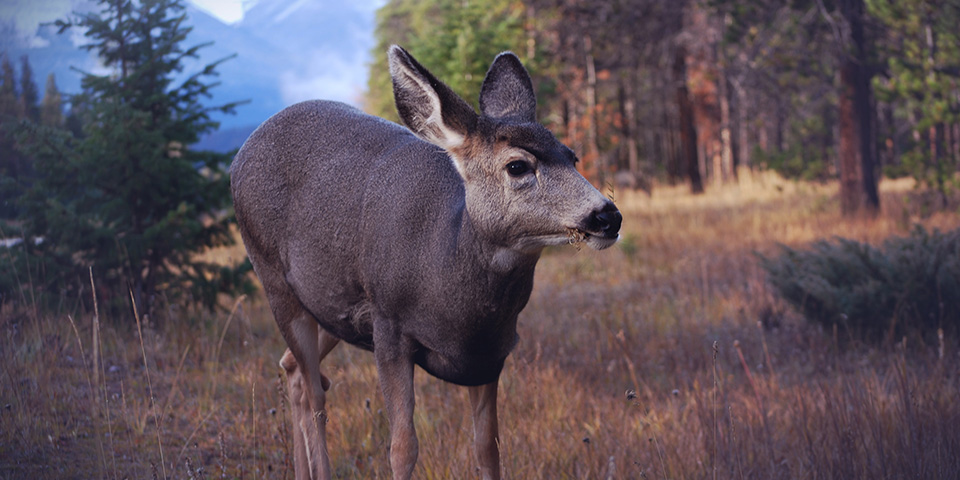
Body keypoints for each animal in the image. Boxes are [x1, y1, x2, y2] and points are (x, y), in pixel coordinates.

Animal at [231, 46, 624, 480]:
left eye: (572, 157)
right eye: (518, 165)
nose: (607, 215)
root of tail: (245, 148)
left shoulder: (492, 352)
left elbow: (488, 446)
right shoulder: (389, 327)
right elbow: (403, 447)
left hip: (330, 306)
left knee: (295, 371)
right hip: (274, 277)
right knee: (315, 393)